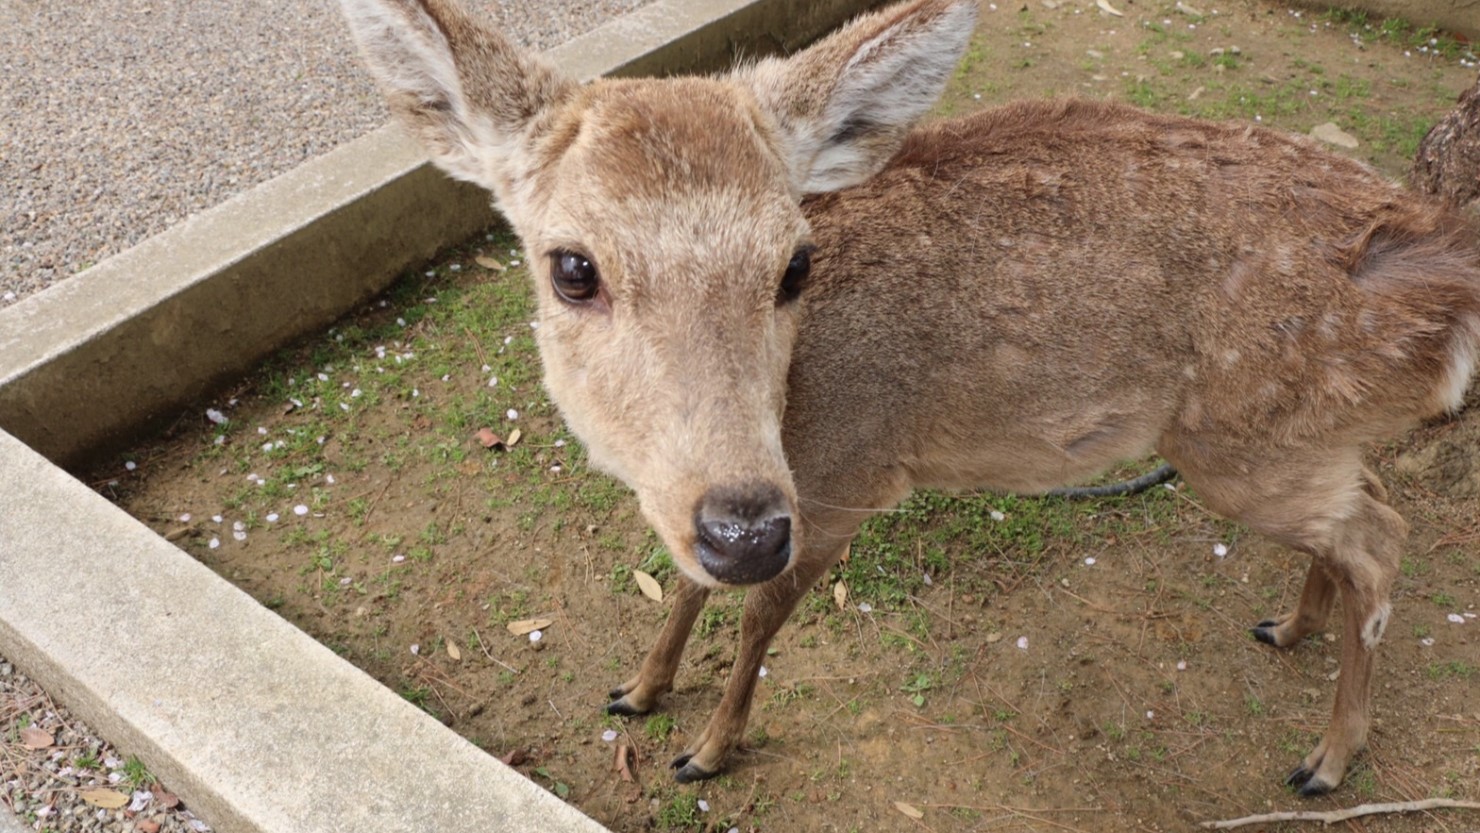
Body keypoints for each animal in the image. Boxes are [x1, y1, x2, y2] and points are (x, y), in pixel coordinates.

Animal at [338, 0, 1480, 795]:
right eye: (571, 266)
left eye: (794, 263)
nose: (745, 527)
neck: (792, 417)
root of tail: (1434, 261)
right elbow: (685, 586)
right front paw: (639, 688)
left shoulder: (846, 477)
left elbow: (758, 615)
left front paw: (707, 747)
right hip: (1297, 440)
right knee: (1364, 509)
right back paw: (1287, 627)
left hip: (1246, 445)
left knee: (1382, 538)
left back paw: (1326, 758)